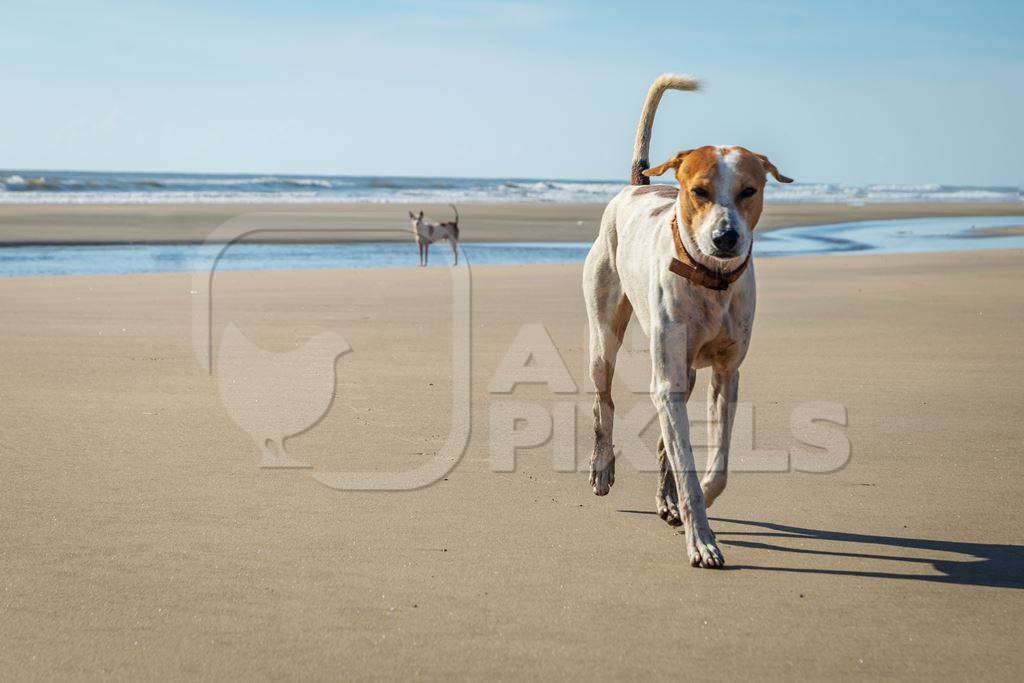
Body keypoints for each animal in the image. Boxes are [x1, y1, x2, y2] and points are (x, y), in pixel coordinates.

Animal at [585, 74, 790, 569]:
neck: (710, 280)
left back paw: (666, 499)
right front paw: (702, 540)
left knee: (665, 440)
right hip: (604, 335)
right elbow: (688, 471)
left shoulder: (725, 374)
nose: (726, 237)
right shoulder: (668, 378)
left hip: (687, 372)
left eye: (749, 191)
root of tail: (637, 185)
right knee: (604, 401)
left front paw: (695, 506)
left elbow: (716, 466)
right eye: (699, 191)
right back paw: (602, 468)